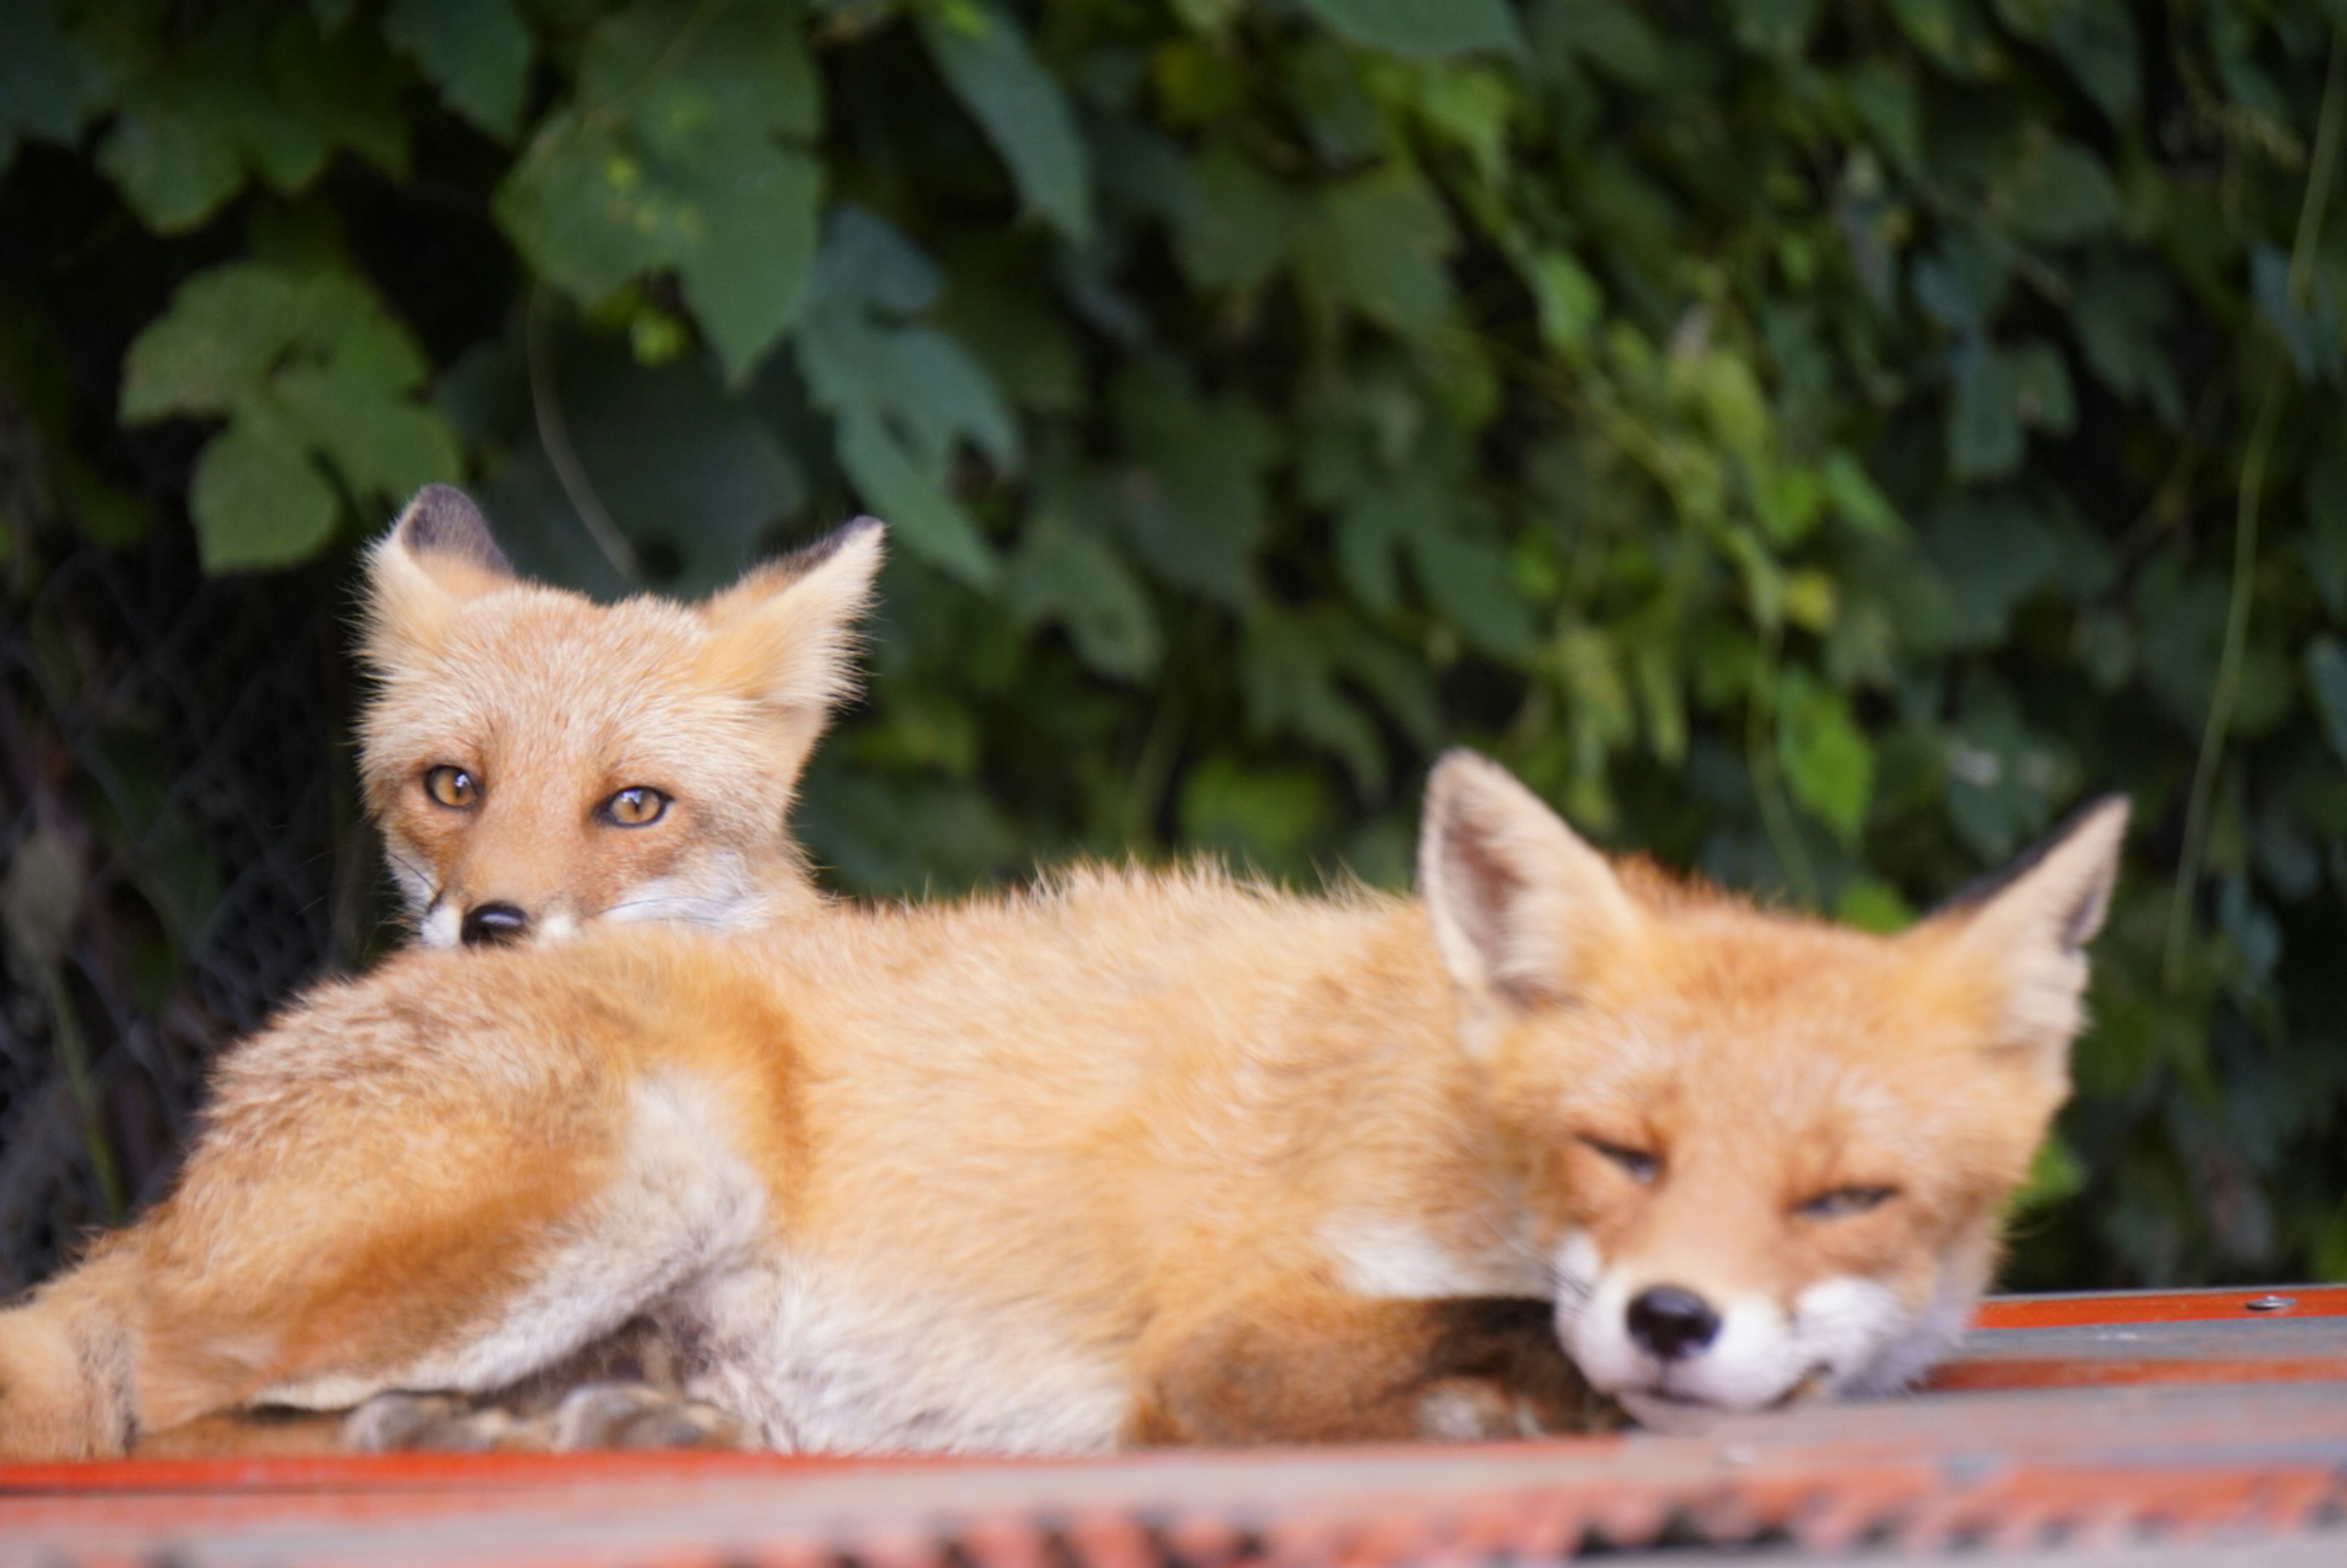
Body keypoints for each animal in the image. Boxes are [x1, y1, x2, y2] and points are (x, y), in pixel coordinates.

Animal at [0, 746, 2131, 1455]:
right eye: (1622, 1151)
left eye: (1845, 1199)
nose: (1678, 1318)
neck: (1446, 1114)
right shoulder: (1224, 1339)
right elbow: (1493, 1329)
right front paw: (1554, 1381)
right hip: (639, 1161)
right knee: (174, 1391)